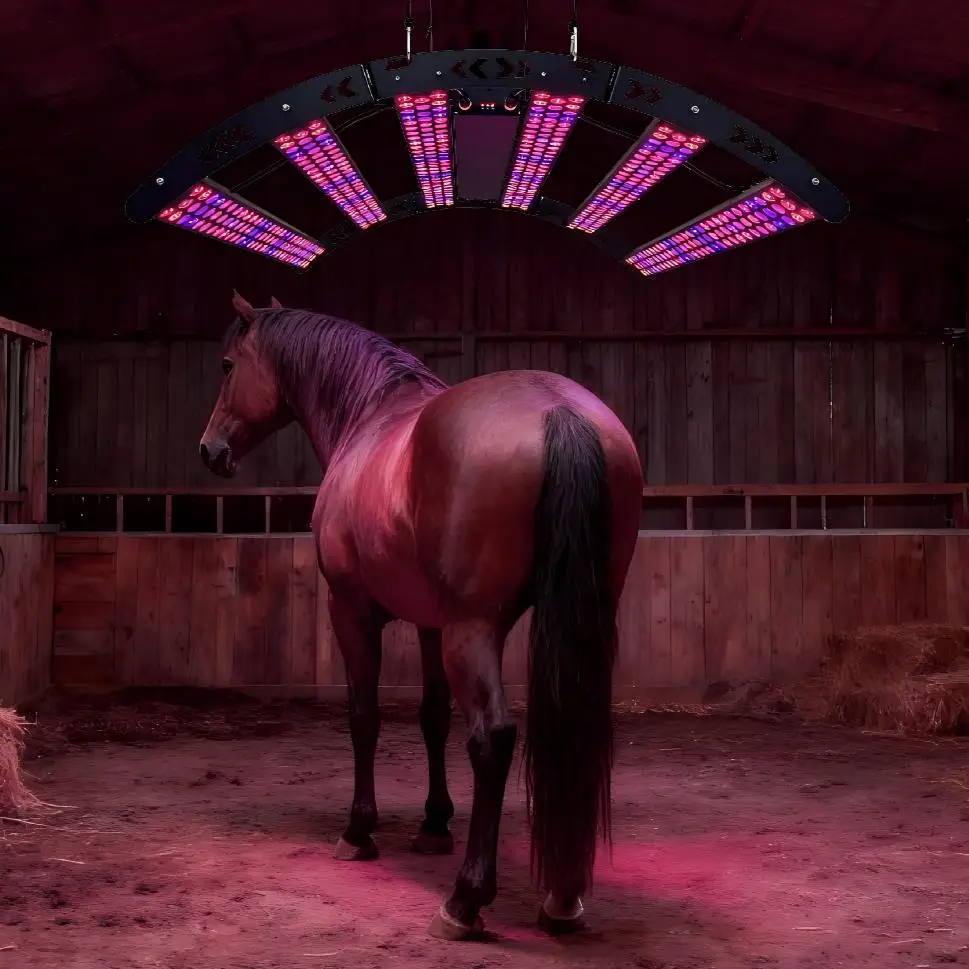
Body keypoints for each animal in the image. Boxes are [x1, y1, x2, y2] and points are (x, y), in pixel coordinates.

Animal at [199, 291, 644, 941]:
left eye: (229, 366)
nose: (211, 450)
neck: (371, 417)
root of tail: (559, 413)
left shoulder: (352, 611)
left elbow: (364, 717)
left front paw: (359, 831)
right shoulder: (431, 623)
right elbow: (433, 717)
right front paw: (434, 824)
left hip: (474, 631)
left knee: (493, 736)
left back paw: (465, 900)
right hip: (574, 624)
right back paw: (562, 898)